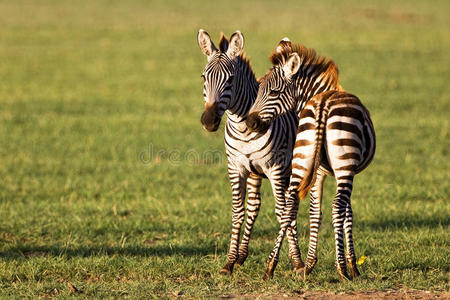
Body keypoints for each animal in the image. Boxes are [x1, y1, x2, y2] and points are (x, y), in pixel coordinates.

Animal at [197, 29, 302, 276]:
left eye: (230, 79)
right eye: (204, 77)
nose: (208, 121)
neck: (243, 128)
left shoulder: (275, 169)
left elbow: (281, 211)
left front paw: (290, 263)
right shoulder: (236, 167)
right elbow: (238, 211)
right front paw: (229, 261)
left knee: (292, 208)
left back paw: (301, 261)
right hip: (256, 173)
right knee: (255, 205)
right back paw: (242, 256)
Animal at [246, 38, 376, 280]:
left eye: (274, 91)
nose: (250, 123)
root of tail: (323, 105)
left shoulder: (319, 172)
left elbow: (315, 212)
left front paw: (309, 263)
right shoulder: (346, 171)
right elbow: (347, 214)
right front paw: (352, 265)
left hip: (301, 160)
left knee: (288, 207)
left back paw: (272, 266)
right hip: (344, 167)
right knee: (337, 206)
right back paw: (342, 269)